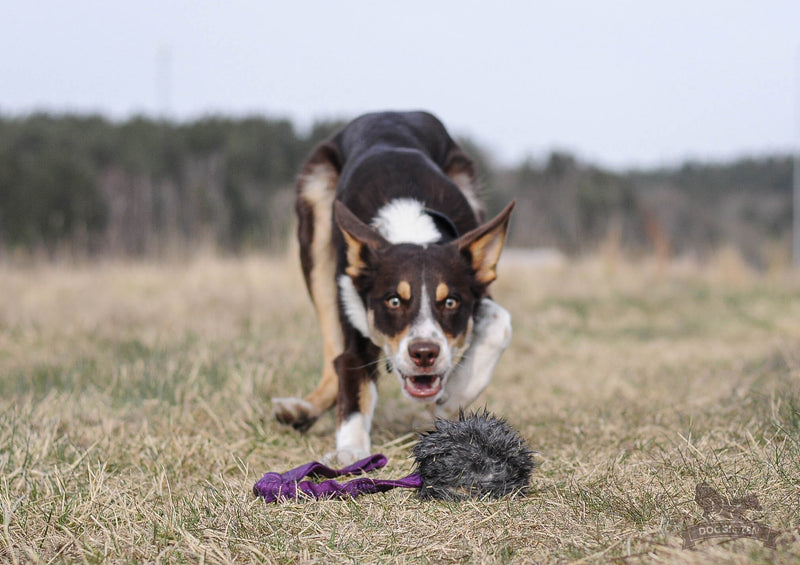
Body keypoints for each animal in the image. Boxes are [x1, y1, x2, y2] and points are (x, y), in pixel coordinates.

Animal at [274, 110, 512, 462]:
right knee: (333, 351)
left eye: (451, 302)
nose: (424, 353)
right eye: (394, 301)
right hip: (315, 219)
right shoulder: (353, 309)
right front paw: (349, 453)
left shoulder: (479, 290)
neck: (409, 226)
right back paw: (301, 409)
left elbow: (499, 323)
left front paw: (454, 397)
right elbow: (351, 377)